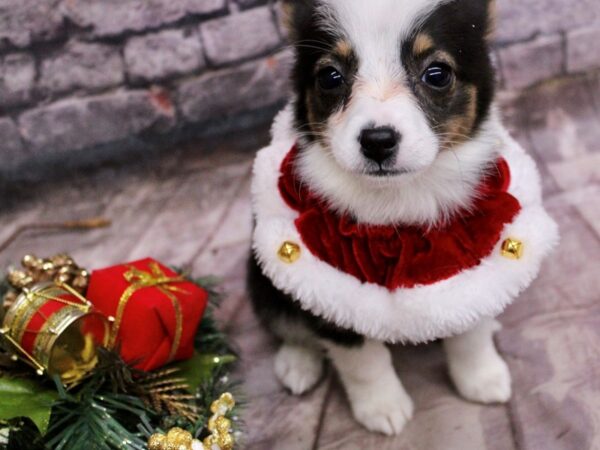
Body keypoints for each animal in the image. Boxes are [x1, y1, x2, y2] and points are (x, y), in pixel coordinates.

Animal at [246, 0, 560, 436]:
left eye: (437, 73)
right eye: (329, 77)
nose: (377, 141)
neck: (400, 200)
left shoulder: (475, 255)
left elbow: (471, 330)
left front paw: (482, 378)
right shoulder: (334, 281)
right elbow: (362, 359)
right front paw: (382, 407)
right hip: (263, 273)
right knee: (287, 319)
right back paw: (298, 363)